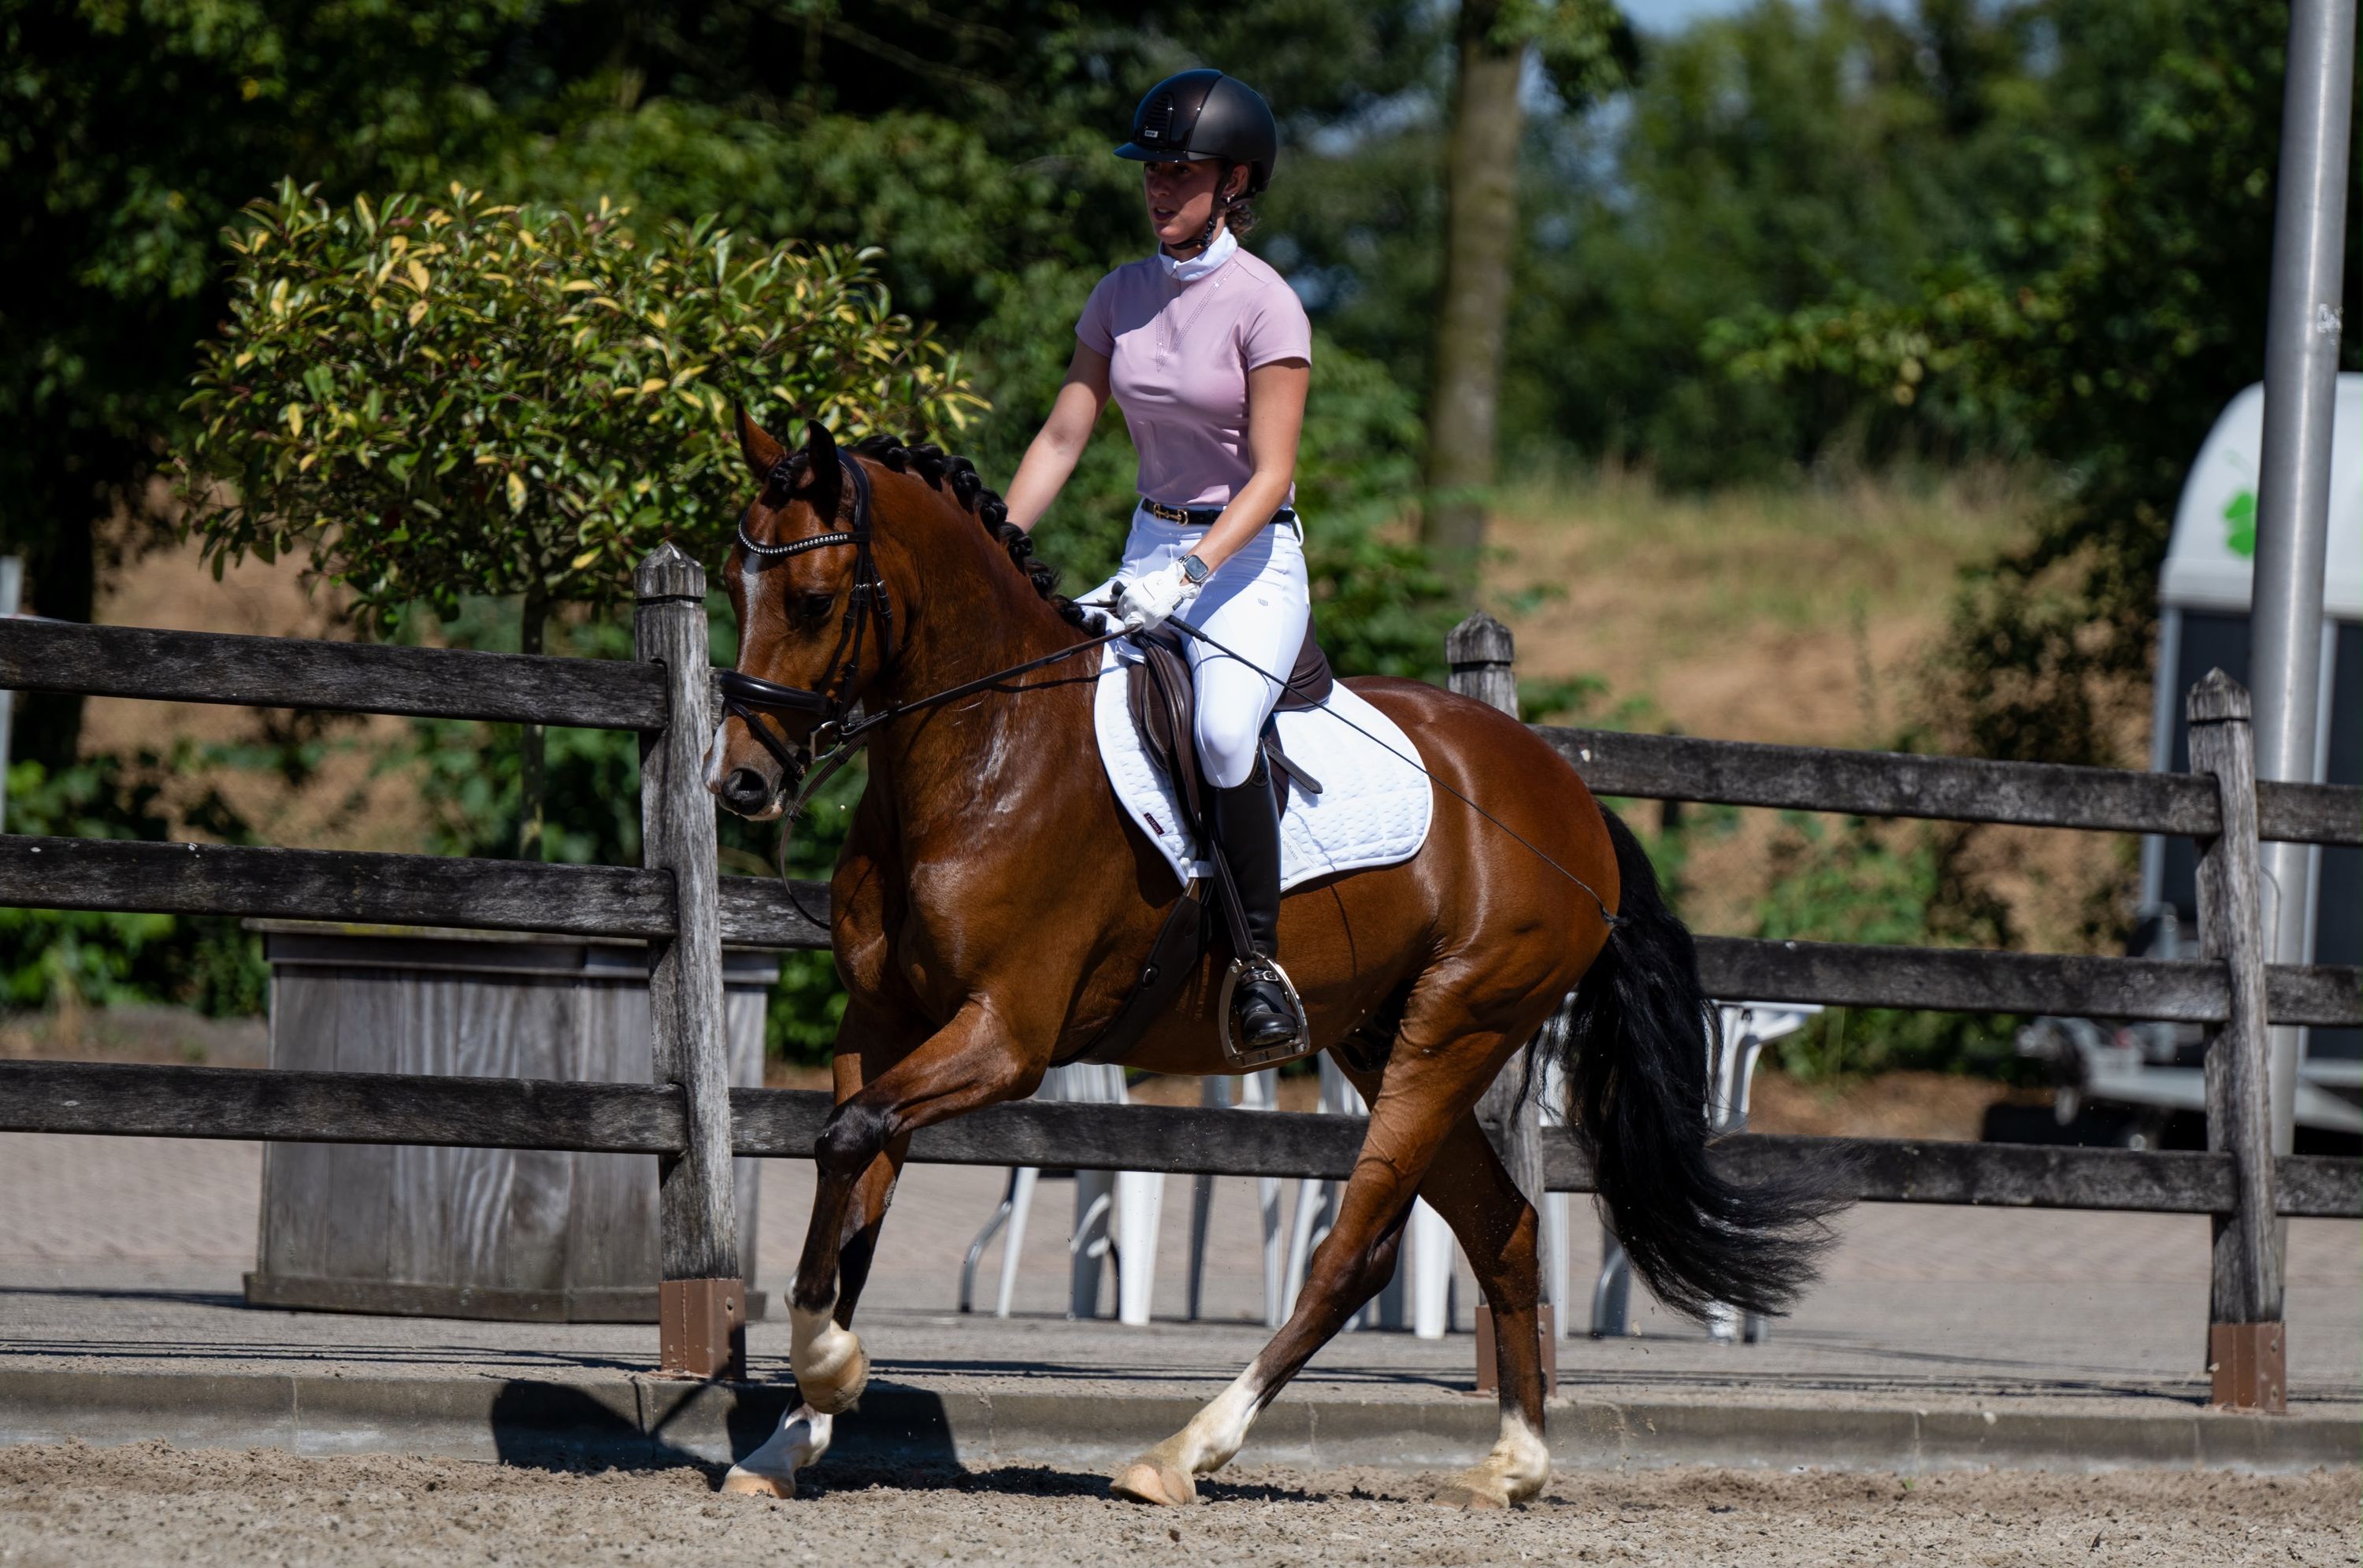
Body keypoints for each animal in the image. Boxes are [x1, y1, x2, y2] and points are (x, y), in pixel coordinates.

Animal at [704, 413, 1838, 1508]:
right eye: (729, 583)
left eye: (812, 600)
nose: (739, 782)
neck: (986, 747)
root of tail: (1569, 796)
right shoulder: (883, 1027)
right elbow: (853, 1178)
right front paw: (798, 1422)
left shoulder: (1005, 1034)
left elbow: (851, 1142)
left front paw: (826, 1370)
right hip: (1390, 1038)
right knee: (1503, 1226)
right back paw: (1511, 1465)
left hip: (1456, 1027)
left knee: (1357, 1249)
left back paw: (1185, 1450)